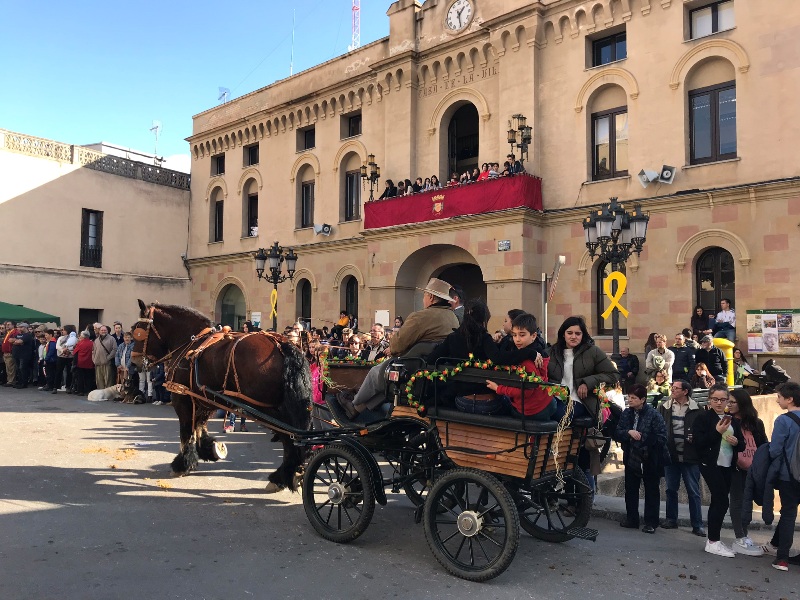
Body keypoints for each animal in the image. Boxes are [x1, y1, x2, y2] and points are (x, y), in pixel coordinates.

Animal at [130, 300, 310, 492]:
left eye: (138, 331)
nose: (134, 362)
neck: (190, 344)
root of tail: (281, 345)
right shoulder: (204, 398)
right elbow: (199, 426)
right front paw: (209, 450)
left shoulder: (183, 398)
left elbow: (187, 430)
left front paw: (183, 463)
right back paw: (293, 472)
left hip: (267, 408)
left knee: (289, 438)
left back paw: (282, 476)